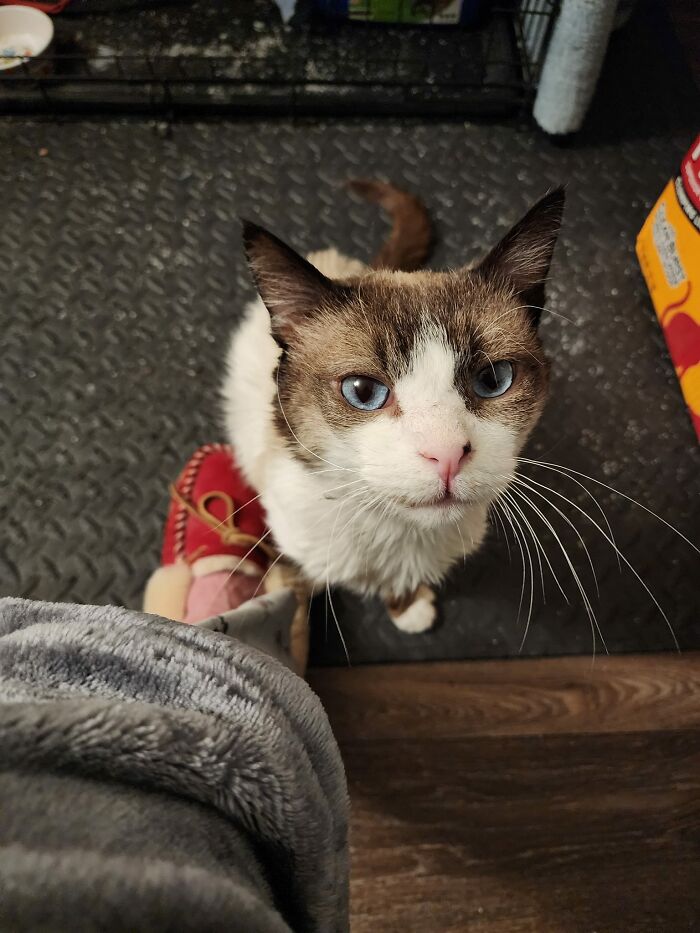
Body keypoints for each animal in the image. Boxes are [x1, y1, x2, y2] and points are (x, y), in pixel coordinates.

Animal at [224, 178, 564, 632]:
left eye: (493, 380)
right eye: (363, 392)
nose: (446, 454)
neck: (395, 533)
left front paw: (407, 607)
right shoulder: (291, 561)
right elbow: (290, 625)